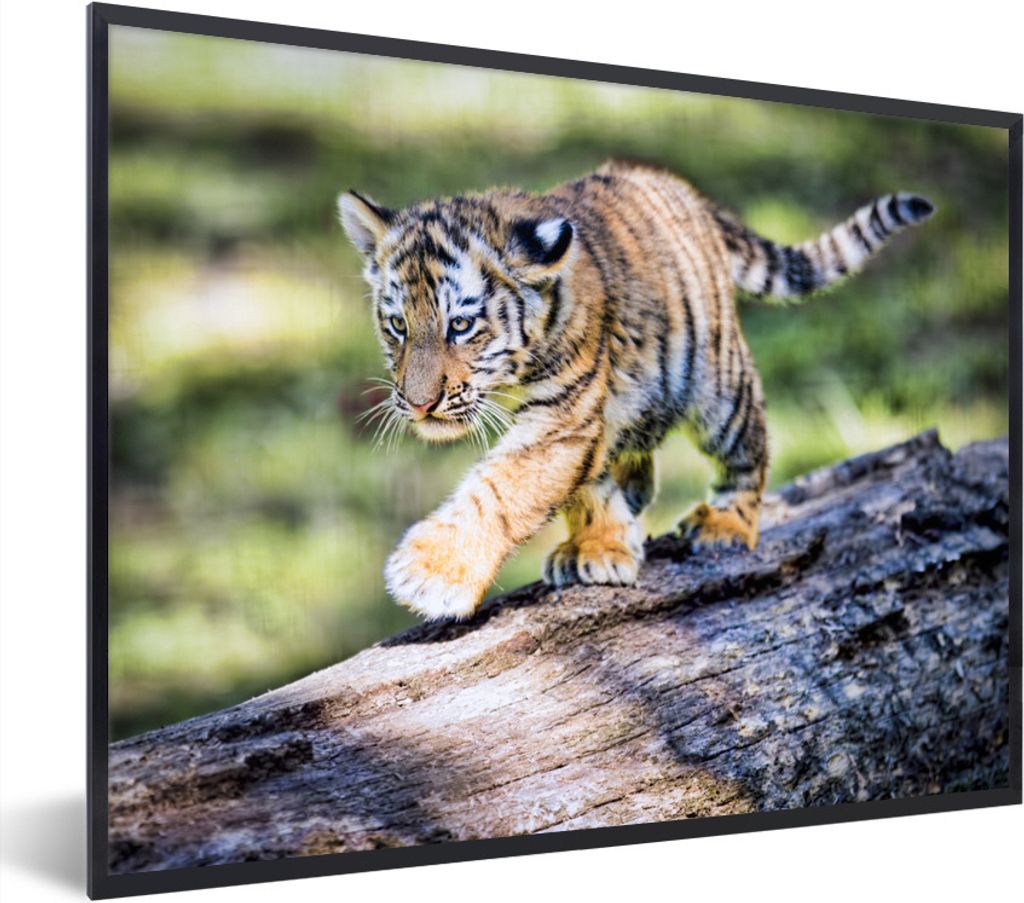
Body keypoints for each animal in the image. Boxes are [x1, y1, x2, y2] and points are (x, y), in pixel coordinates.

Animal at [338, 160, 934, 620]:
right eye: (397, 326)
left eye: (460, 326)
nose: (419, 404)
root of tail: (678, 185)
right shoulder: (584, 420)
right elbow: (584, 487)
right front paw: (598, 545)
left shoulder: (563, 415)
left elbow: (503, 488)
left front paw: (431, 574)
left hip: (719, 389)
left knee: (750, 452)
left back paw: (726, 524)